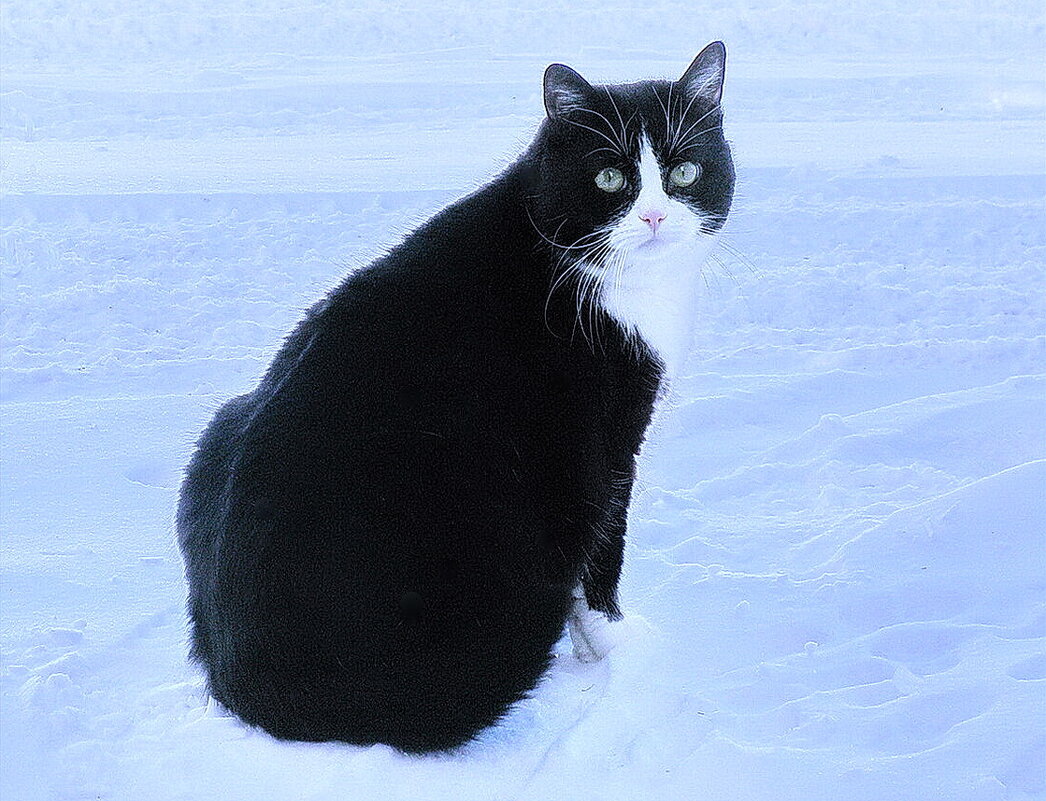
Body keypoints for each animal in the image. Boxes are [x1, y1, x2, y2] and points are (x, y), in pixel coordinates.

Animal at [177, 42, 736, 761]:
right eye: (610, 179)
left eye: (685, 170)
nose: (656, 216)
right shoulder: (598, 443)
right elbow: (601, 553)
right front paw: (615, 643)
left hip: (219, 426)